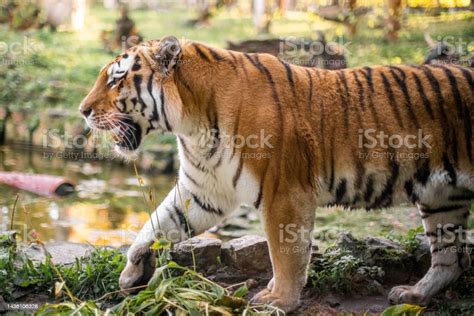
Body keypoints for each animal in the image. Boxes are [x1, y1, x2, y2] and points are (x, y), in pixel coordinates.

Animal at [79, 36, 472, 312]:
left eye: (115, 80)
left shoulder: (284, 192)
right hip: (441, 198)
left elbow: (285, 252)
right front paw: (131, 271)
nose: (83, 111)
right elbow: (158, 222)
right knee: (450, 258)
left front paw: (279, 300)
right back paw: (414, 294)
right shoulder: (203, 191)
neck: (190, 123)